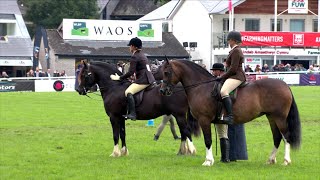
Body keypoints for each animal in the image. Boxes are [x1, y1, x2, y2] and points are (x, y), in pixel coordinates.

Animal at [161, 59, 302, 167]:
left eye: (167, 72)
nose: (163, 91)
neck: (201, 87)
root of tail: (284, 85)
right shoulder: (217, 121)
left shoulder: (204, 120)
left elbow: (208, 140)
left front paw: (208, 161)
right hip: (271, 117)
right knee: (277, 137)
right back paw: (271, 160)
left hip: (279, 118)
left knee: (286, 136)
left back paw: (286, 161)